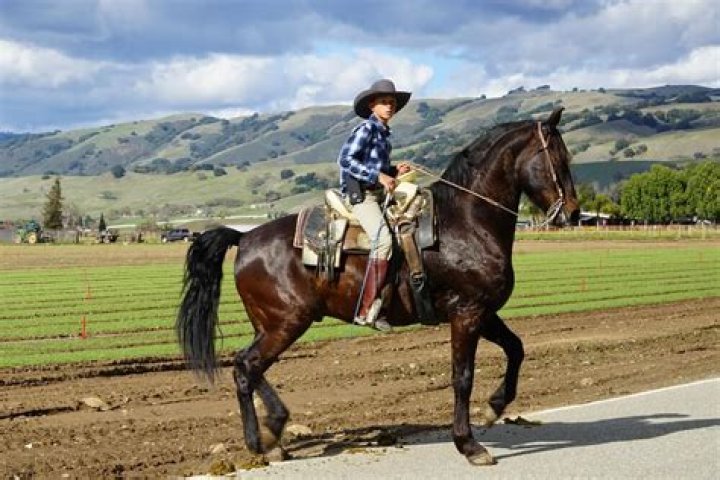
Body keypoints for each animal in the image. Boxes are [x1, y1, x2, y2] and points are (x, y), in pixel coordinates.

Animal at [176, 107, 579, 466]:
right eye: (559, 159)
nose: (573, 213)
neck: (465, 222)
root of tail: (244, 238)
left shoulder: (483, 312)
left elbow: (516, 349)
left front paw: (494, 407)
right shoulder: (467, 314)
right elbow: (462, 377)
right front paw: (468, 444)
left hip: (273, 324)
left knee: (248, 364)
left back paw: (274, 433)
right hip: (285, 323)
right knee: (246, 367)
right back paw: (259, 441)